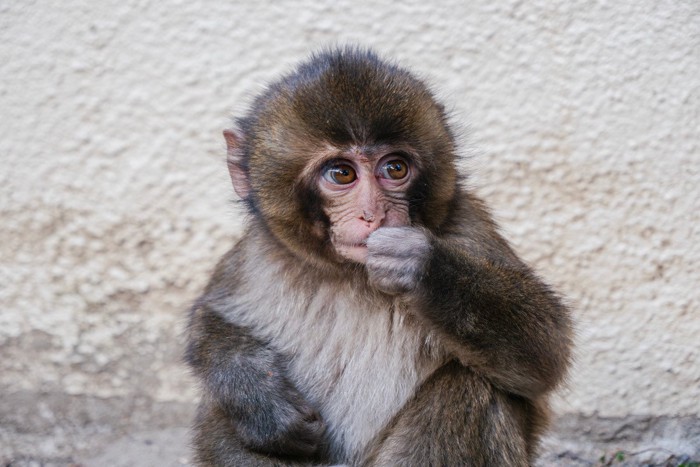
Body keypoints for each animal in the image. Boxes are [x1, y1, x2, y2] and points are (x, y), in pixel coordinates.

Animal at [185, 47, 573, 466]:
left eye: (395, 168)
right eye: (341, 173)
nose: (375, 214)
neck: (350, 273)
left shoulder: (469, 228)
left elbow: (545, 351)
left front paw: (421, 266)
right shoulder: (257, 253)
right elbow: (212, 315)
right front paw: (260, 399)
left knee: (471, 383)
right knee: (218, 411)